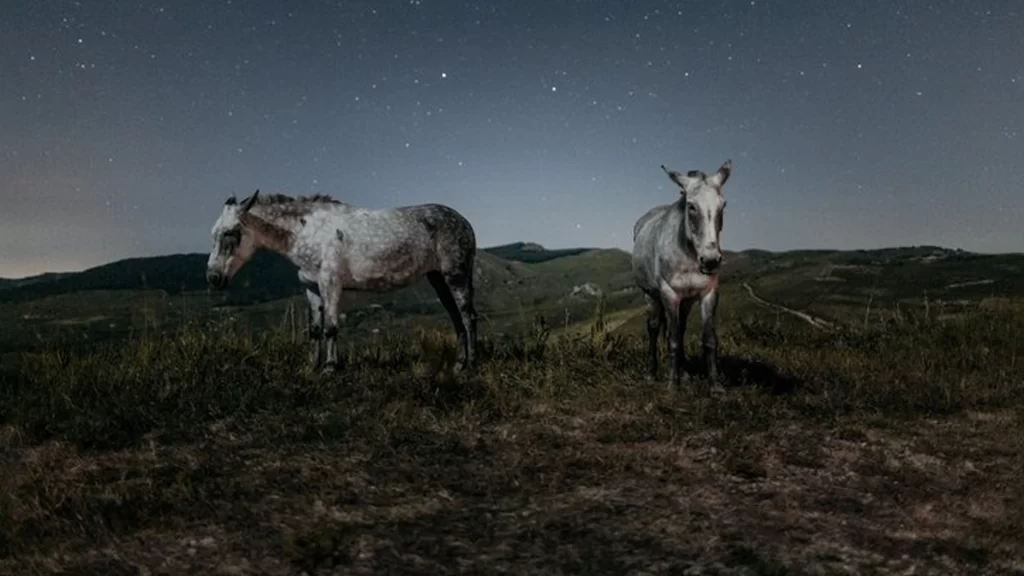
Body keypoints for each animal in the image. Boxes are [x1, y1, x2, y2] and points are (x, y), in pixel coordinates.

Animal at [205, 190, 479, 375]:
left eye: (230, 233)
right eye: (213, 234)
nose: (213, 278)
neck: (308, 232)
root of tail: (465, 222)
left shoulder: (331, 284)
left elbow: (331, 327)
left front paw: (330, 367)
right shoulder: (311, 288)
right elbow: (315, 329)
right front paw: (312, 365)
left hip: (456, 276)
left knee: (468, 316)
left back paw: (472, 364)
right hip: (438, 279)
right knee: (456, 317)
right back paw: (459, 364)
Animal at [631, 159, 731, 394]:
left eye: (723, 205)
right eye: (691, 206)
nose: (711, 260)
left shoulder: (708, 293)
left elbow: (708, 339)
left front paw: (714, 386)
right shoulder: (669, 294)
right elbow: (673, 339)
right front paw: (672, 384)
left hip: (686, 301)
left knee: (680, 328)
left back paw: (684, 373)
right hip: (651, 296)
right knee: (654, 328)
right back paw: (652, 373)